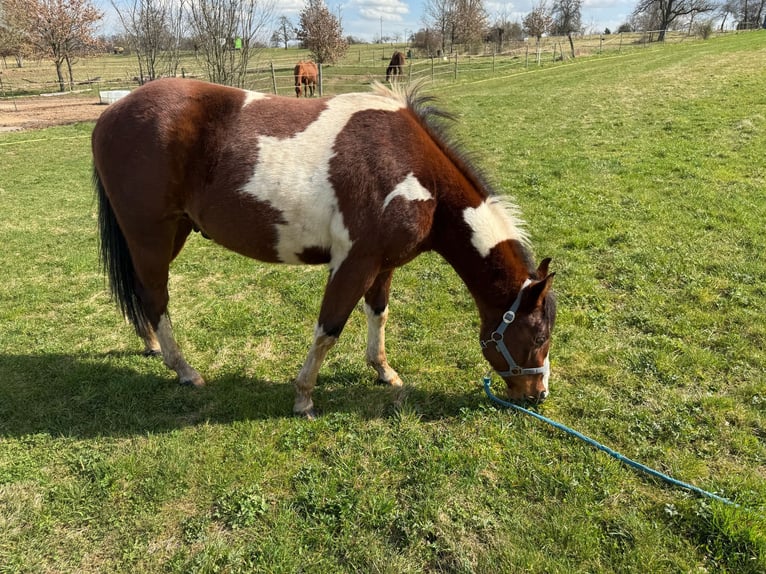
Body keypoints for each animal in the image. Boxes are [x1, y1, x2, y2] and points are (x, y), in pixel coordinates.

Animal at [92, 77, 556, 418]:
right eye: (538, 336)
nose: (538, 394)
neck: (414, 172)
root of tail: (111, 114)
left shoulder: (383, 265)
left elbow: (378, 314)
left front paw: (383, 370)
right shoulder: (354, 263)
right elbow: (329, 329)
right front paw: (304, 396)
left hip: (171, 234)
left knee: (142, 292)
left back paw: (152, 346)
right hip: (151, 235)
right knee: (156, 296)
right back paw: (185, 371)